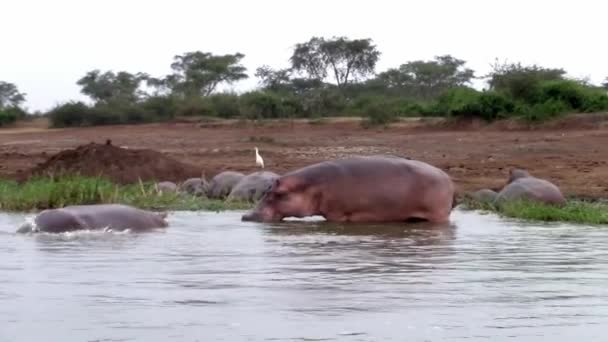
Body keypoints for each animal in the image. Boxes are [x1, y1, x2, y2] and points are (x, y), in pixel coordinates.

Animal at [242, 156, 456, 224]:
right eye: (266, 189)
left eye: (278, 193)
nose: (246, 215)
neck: (311, 186)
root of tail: (446, 177)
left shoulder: (336, 214)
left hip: (438, 215)